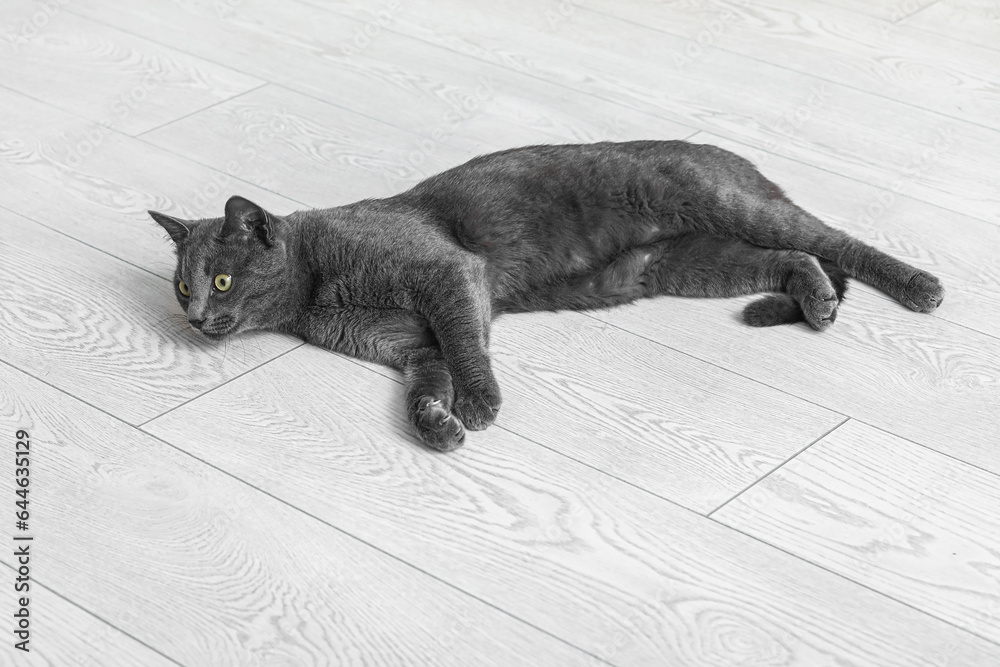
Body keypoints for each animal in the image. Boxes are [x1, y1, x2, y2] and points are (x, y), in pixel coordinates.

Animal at [150, 142, 944, 454]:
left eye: (220, 280)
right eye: (183, 285)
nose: (195, 317)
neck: (318, 290)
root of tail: (734, 157)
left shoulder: (447, 274)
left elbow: (465, 344)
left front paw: (479, 404)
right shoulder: (408, 344)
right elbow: (426, 380)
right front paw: (438, 424)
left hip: (724, 206)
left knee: (836, 240)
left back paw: (921, 287)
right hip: (682, 262)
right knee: (794, 257)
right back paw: (812, 301)